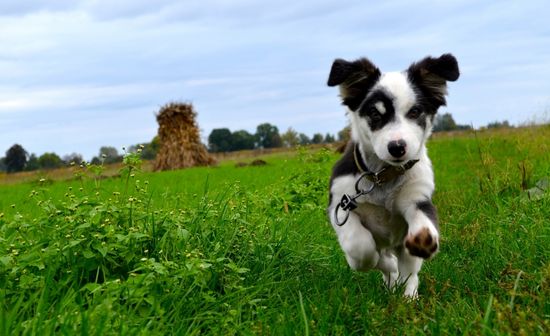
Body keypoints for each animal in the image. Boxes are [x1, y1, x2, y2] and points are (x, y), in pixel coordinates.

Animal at [328, 53, 462, 296]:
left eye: (415, 112)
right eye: (374, 113)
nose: (397, 147)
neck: (382, 176)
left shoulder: (418, 198)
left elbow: (423, 221)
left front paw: (423, 239)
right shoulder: (340, 206)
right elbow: (360, 247)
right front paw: (383, 263)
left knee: (410, 273)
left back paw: (408, 296)